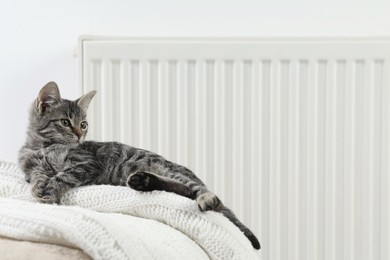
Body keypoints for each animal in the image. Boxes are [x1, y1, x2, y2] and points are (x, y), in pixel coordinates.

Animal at [19, 82, 262, 250]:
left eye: (84, 124)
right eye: (65, 122)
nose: (80, 135)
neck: (43, 147)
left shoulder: (86, 163)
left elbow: (63, 175)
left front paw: (49, 192)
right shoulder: (30, 166)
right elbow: (38, 174)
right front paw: (39, 186)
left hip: (169, 169)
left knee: (203, 195)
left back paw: (205, 198)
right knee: (183, 190)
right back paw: (143, 181)